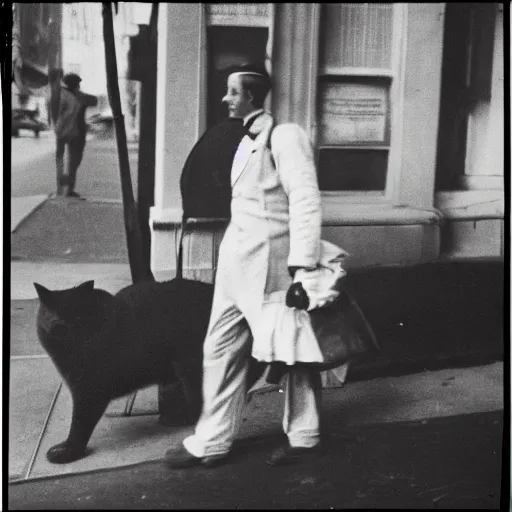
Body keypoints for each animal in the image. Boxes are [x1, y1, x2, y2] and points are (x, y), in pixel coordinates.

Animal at [34, 278, 264, 466]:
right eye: (58, 317)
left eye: (80, 315)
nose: (69, 326)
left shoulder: (89, 391)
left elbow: (79, 424)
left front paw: (69, 451)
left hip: (190, 366)